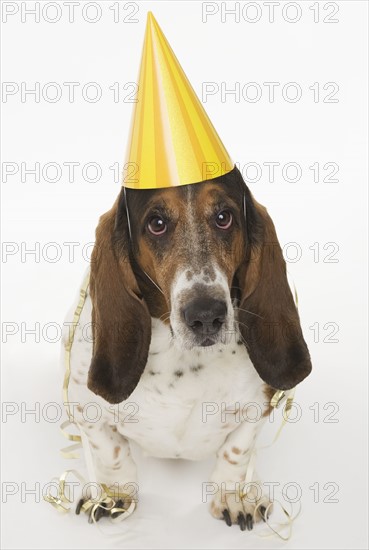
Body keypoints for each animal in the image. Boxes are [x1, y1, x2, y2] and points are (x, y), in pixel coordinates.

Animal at [64, 167, 310, 532]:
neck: (182, 358)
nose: (206, 315)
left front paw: (234, 496)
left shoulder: (260, 406)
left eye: (224, 217)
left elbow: (237, 451)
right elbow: (111, 451)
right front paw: (114, 494)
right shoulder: (85, 407)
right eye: (157, 223)